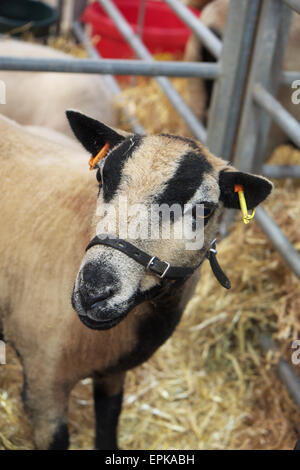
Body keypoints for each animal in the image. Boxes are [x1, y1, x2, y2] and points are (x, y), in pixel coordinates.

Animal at [0, 111, 274, 452]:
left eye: (204, 210)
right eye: (100, 177)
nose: (93, 292)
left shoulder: (113, 370)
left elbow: (109, 420)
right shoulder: (43, 384)